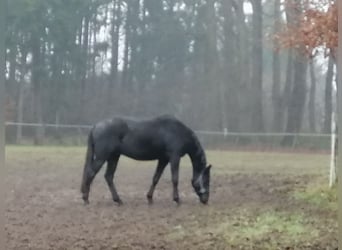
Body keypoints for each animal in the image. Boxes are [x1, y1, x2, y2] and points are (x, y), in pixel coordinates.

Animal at [80, 114, 211, 205]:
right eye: (206, 179)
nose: (206, 200)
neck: (178, 132)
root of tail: (96, 126)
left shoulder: (163, 159)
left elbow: (156, 178)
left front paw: (150, 198)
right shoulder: (174, 157)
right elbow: (175, 179)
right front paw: (177, 200)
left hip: (114, 157)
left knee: (108, 176)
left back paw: (118, 200)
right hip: (102, 157)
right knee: (91, 173)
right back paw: (86, 199)